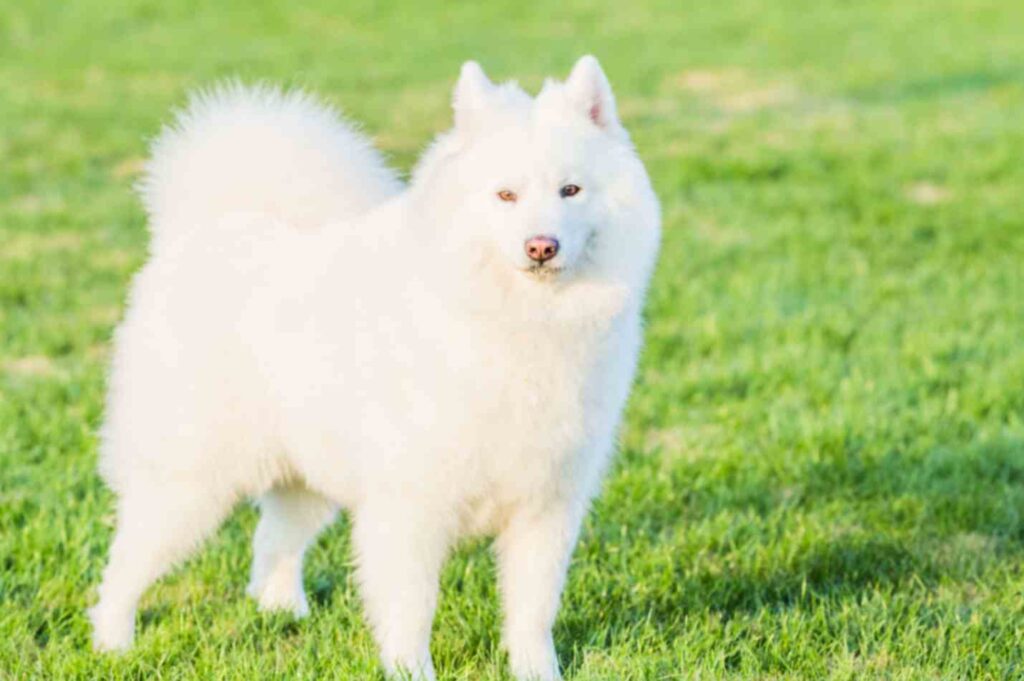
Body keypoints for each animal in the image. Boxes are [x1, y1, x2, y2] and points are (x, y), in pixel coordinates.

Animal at [92, 55, 659, 675]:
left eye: (571, 190)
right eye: (505, 195)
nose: (541, 246)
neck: (520, 322)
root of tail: (207, 230)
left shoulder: (546, 508)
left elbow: (533, 613)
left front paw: (538, 674)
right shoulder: (412, 505)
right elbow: (413, 607)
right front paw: (411, 672)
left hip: (304, 475)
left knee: (272, 541)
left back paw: (283, 614)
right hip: (190, 484)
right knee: (124, 565)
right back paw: (112, 644)